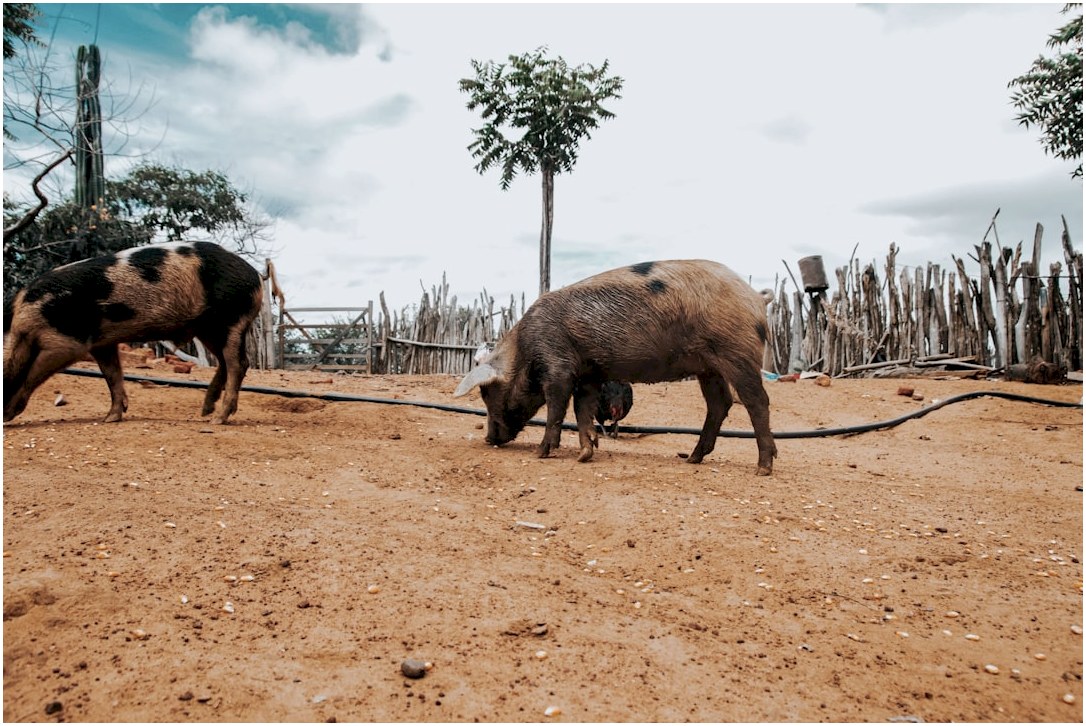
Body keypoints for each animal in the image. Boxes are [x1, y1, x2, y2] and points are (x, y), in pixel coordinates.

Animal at [4, 241, 262, 425]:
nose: (4, 419)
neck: (20, 326)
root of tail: (256, 277)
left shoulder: (67, 341)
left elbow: (32, 374)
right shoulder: (102, 343)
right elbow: (112, 375)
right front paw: (110, 418)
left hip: (231, 319)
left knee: (238, 363)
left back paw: (218, 419)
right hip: (207, 328)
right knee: (224, 362)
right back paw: (205, 411)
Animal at [454, 259, 776, 475]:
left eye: (487, 393)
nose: (489, 439)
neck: (523, 350)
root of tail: (756, 297)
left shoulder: (558, 366)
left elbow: (557, 408)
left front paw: (542, 453)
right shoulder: (588, 374)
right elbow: (582, 409)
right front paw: (585, 454)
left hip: (737, 353)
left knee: (756, 401)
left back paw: (763, 467)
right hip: (708, 368)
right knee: (720, 403)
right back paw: (692, 459)